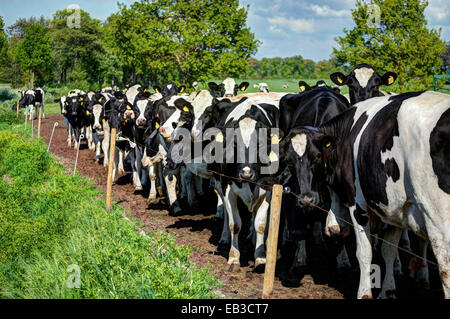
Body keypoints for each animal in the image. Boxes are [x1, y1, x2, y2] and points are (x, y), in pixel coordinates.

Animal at [304, 92, 448, 300]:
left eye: (315, 158)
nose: (332, 229)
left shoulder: (358, 205)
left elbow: (365, 251)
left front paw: (364, 293)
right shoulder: (396, 206)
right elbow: (388, 250)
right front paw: (387, 291)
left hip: (438, 220)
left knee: (445, 267)